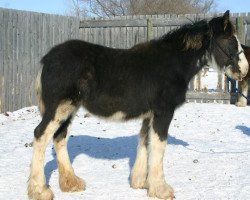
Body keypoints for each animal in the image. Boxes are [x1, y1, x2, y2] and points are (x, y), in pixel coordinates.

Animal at [27, 10, 248, 200]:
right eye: (231, 41)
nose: (244, 70)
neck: (172, 64)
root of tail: (47, 60)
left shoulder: (148, 115)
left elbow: (145, 142)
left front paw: (141, 183)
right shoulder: (163, 113)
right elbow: (159, 146)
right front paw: (161, 190)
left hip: (69, 109)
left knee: (60, 137)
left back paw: (71, 183)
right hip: (59, 108)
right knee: (41, 135)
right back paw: (39, 191)